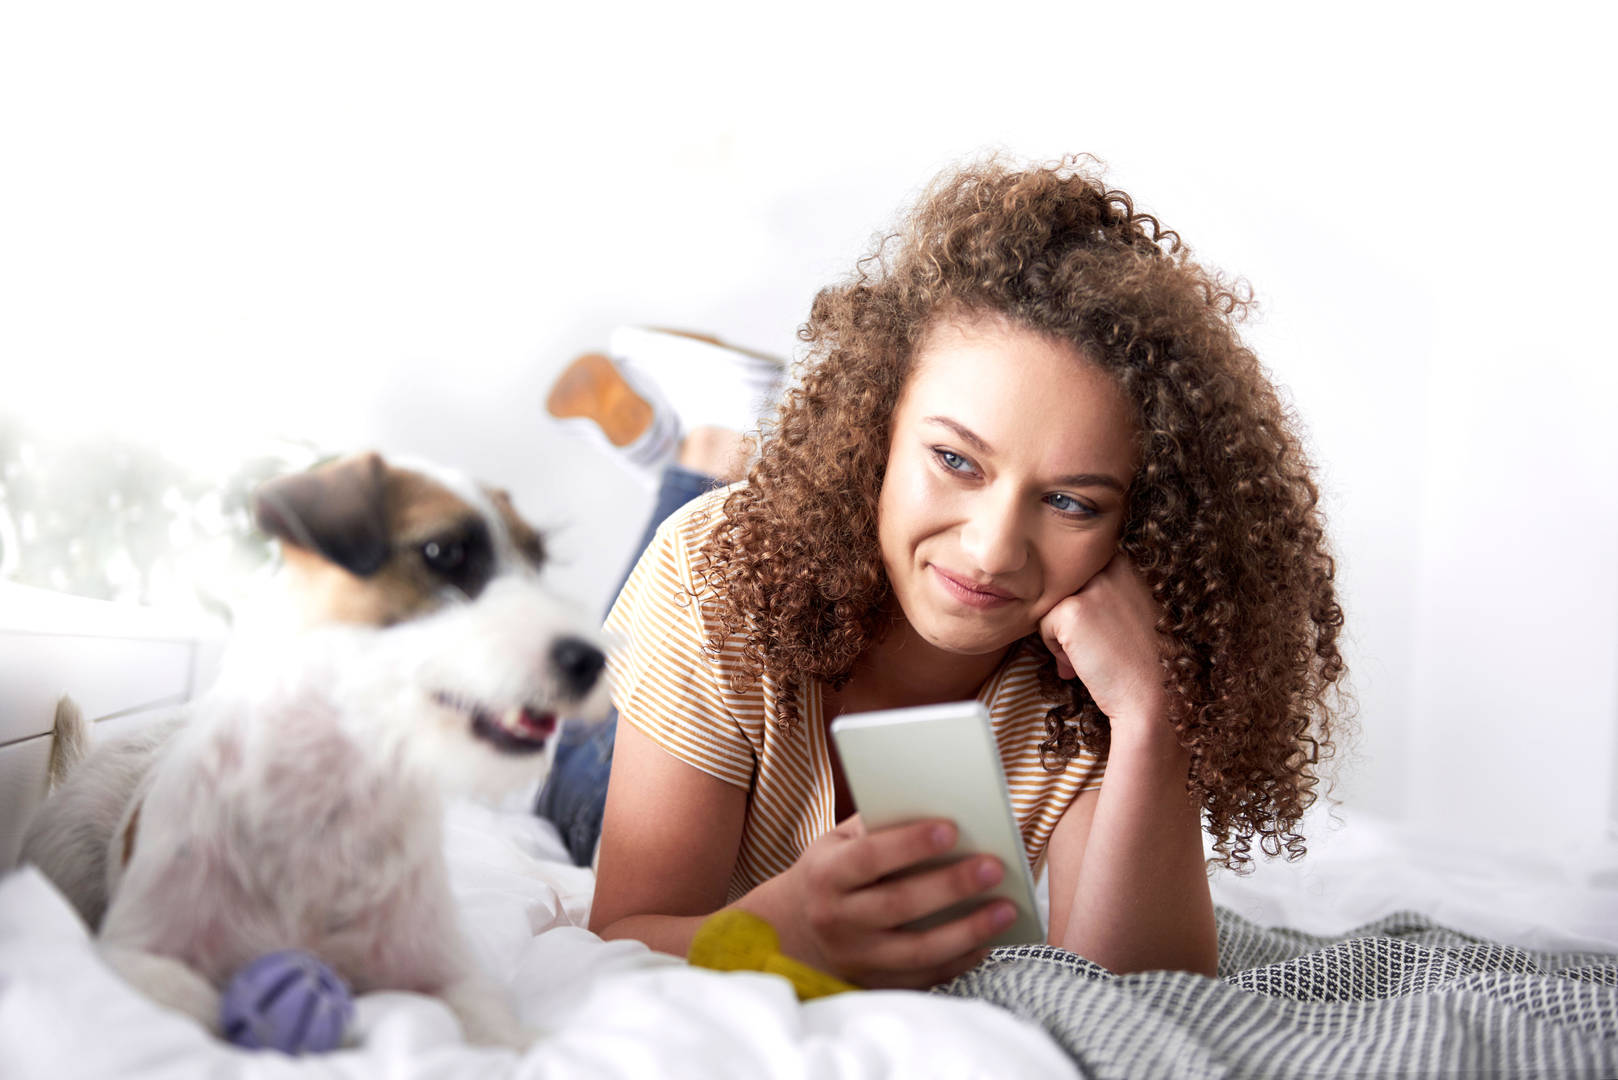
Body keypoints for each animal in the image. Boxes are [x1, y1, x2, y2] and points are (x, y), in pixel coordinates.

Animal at [19, 453, 608, 1049]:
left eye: (539, 560)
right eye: (442, 552)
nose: (593, 660)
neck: (335, 784)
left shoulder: (450, 976)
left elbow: (496, 1029)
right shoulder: (140, 960)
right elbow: (189, 1007)